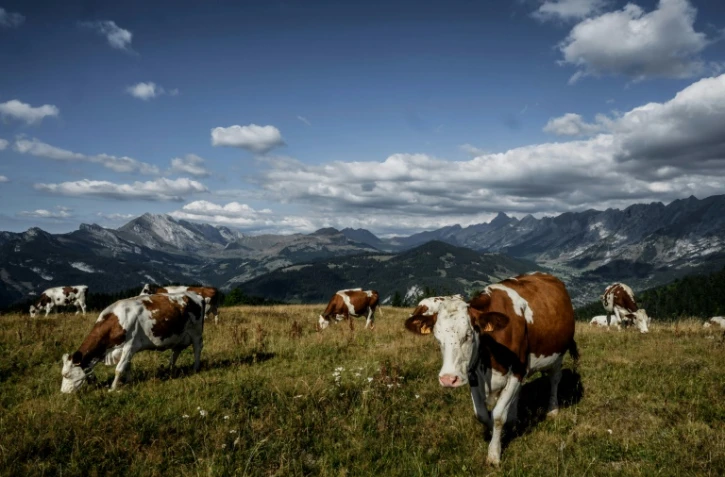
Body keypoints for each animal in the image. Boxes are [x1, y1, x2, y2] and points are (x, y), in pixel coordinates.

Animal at [60, 292, 206, 393]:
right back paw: (170, 369)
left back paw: (195, 368)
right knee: (176, 351)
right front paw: (128, 380)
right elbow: (127, 365)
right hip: (180, 335)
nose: (63, 393)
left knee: (197, 349)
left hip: (196, 332)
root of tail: (196, 295)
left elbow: (119, 368)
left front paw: (113, 388)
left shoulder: (129, 346)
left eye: (67, 375)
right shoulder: (124, 349)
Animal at [405, 273, 578, 466]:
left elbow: (498, 416)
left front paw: (494, 453)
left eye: (468, 335)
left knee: (555, 379)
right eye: (437, 338)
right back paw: (514, 417)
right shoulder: (472, 373)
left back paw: (553, 409)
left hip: (558, 355)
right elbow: (482, 414)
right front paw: (492, 432)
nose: (448, 379)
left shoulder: (517, 371)